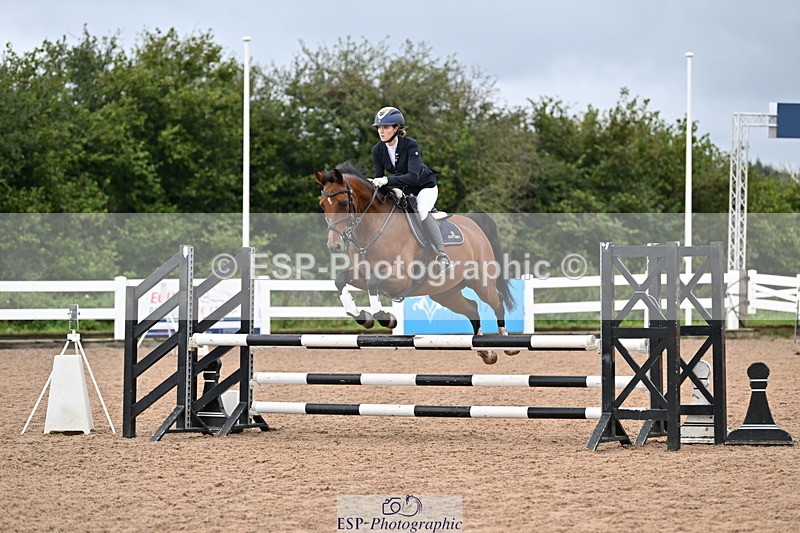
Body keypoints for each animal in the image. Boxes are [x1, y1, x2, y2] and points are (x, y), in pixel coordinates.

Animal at [314, 162, 518, 364]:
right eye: (322, 205)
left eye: (343, 203)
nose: (334, 246)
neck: (372, 229)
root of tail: (472, 223)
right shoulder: (362, 272)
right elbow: (341, 279)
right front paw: (363, 317)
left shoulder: (402, 278)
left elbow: (373, 282)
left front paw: (387, 318)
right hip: (444, 292)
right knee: (472, 308)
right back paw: (486, 352)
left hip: (481, 282)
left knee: (497, 302)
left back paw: (507, 345)